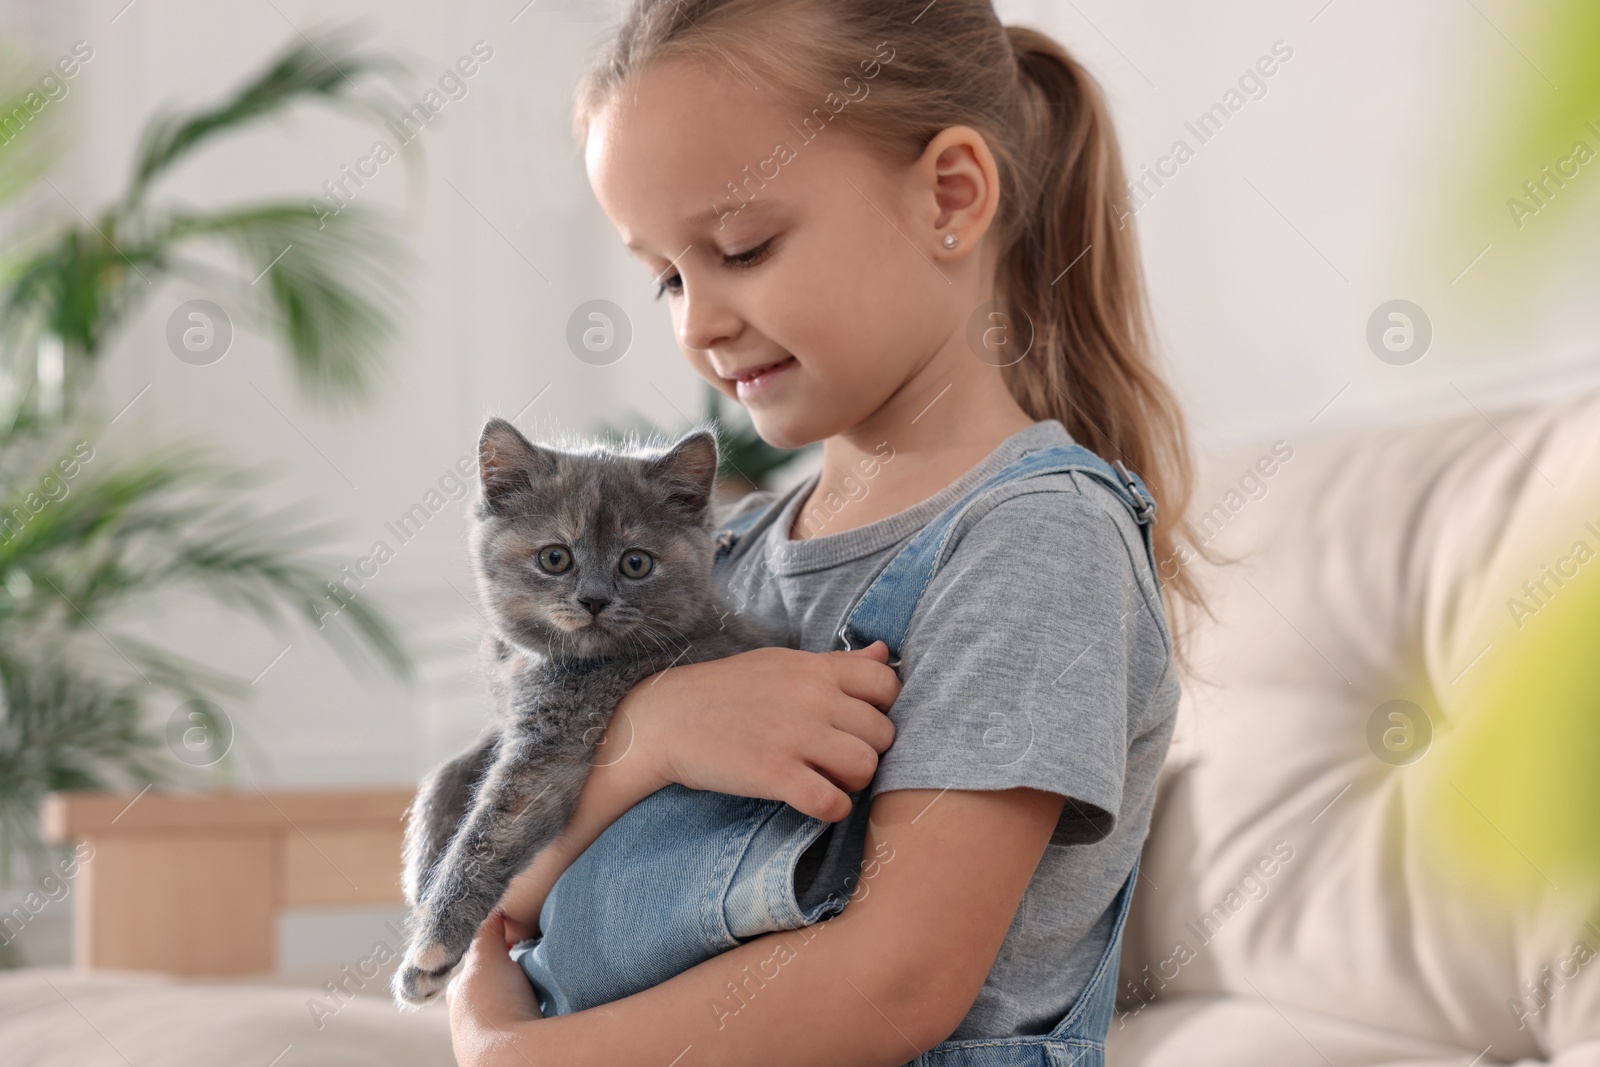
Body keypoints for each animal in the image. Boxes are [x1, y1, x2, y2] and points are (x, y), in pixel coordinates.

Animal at [393, 419, 780, 1011]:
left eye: (636, 563)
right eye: (555, 558)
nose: (594, 599)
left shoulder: (552, 744)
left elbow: (490, 832)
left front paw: (429, 952)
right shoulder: (513, 716)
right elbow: (450, 769)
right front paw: (422, 864)